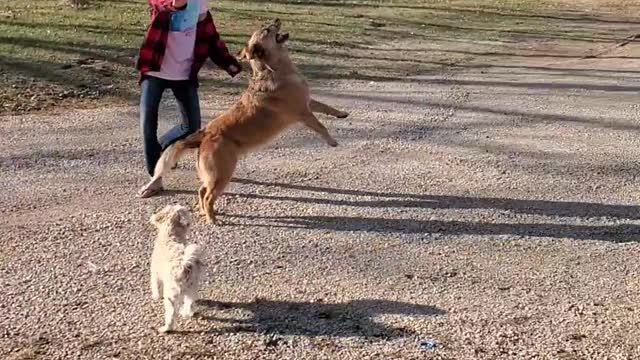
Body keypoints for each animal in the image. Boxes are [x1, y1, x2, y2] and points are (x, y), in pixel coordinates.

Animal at [141, 19, 350, 224]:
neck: (273, 69)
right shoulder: (303, 112)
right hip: (222, 174)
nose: (276, 20)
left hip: (213, 175)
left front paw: (342, 113)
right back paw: (213, 219)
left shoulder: (309, 102)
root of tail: (206, 134)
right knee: (208, 196)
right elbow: (320, 125)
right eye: (266, 30)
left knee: (201, 191)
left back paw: (204, 212)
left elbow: (327, 107)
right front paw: (332, 141)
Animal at [148, 204, 202, 334]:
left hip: (171, 295)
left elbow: (155, 286)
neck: (170, 232)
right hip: (191, 289)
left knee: (171, 315)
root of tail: (184, 266)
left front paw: (156, 296)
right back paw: (185, 312)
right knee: (189, 306)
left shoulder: (155, 273)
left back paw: (165, 328)